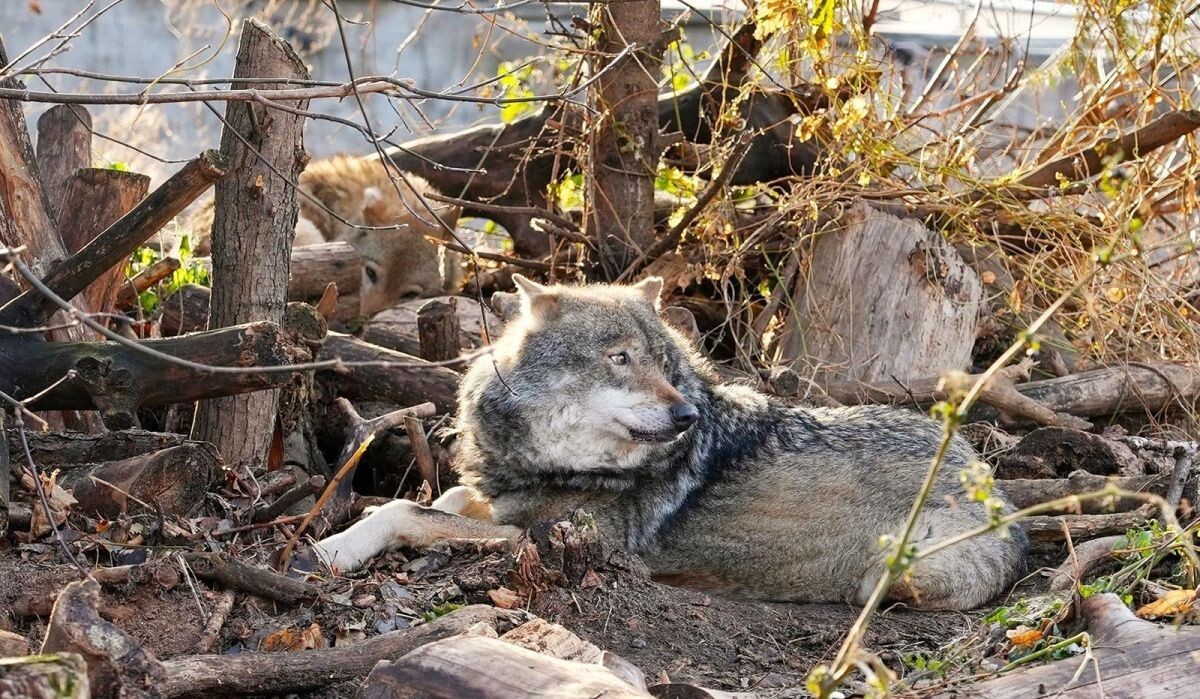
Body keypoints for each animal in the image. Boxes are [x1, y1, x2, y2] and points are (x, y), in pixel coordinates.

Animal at [313, 276, 1026, 610]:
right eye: (620, 359)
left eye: (663, 362)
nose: (685, 415)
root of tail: (997, 493)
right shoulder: (503, 502)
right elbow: (437, 498)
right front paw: (335, 541)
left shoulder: (539, 537)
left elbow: (405, 510)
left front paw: (326, 552)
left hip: (897, 566)